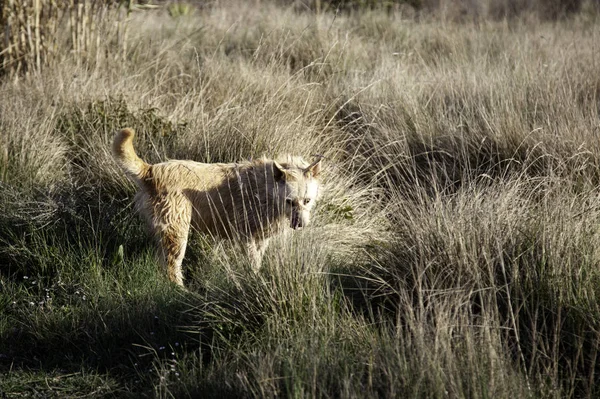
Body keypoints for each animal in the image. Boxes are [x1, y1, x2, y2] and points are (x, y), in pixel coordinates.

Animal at [110, 129, 322, 288]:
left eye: (307, 201)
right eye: (290, 201)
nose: (300, 225)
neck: (266, 188)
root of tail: (151, 170)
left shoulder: (261, 239)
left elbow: (258, 261)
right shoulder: (246, 237)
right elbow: (253, 264)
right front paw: (255, 281)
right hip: (177, 233)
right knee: (172, 266)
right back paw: (181, 291)